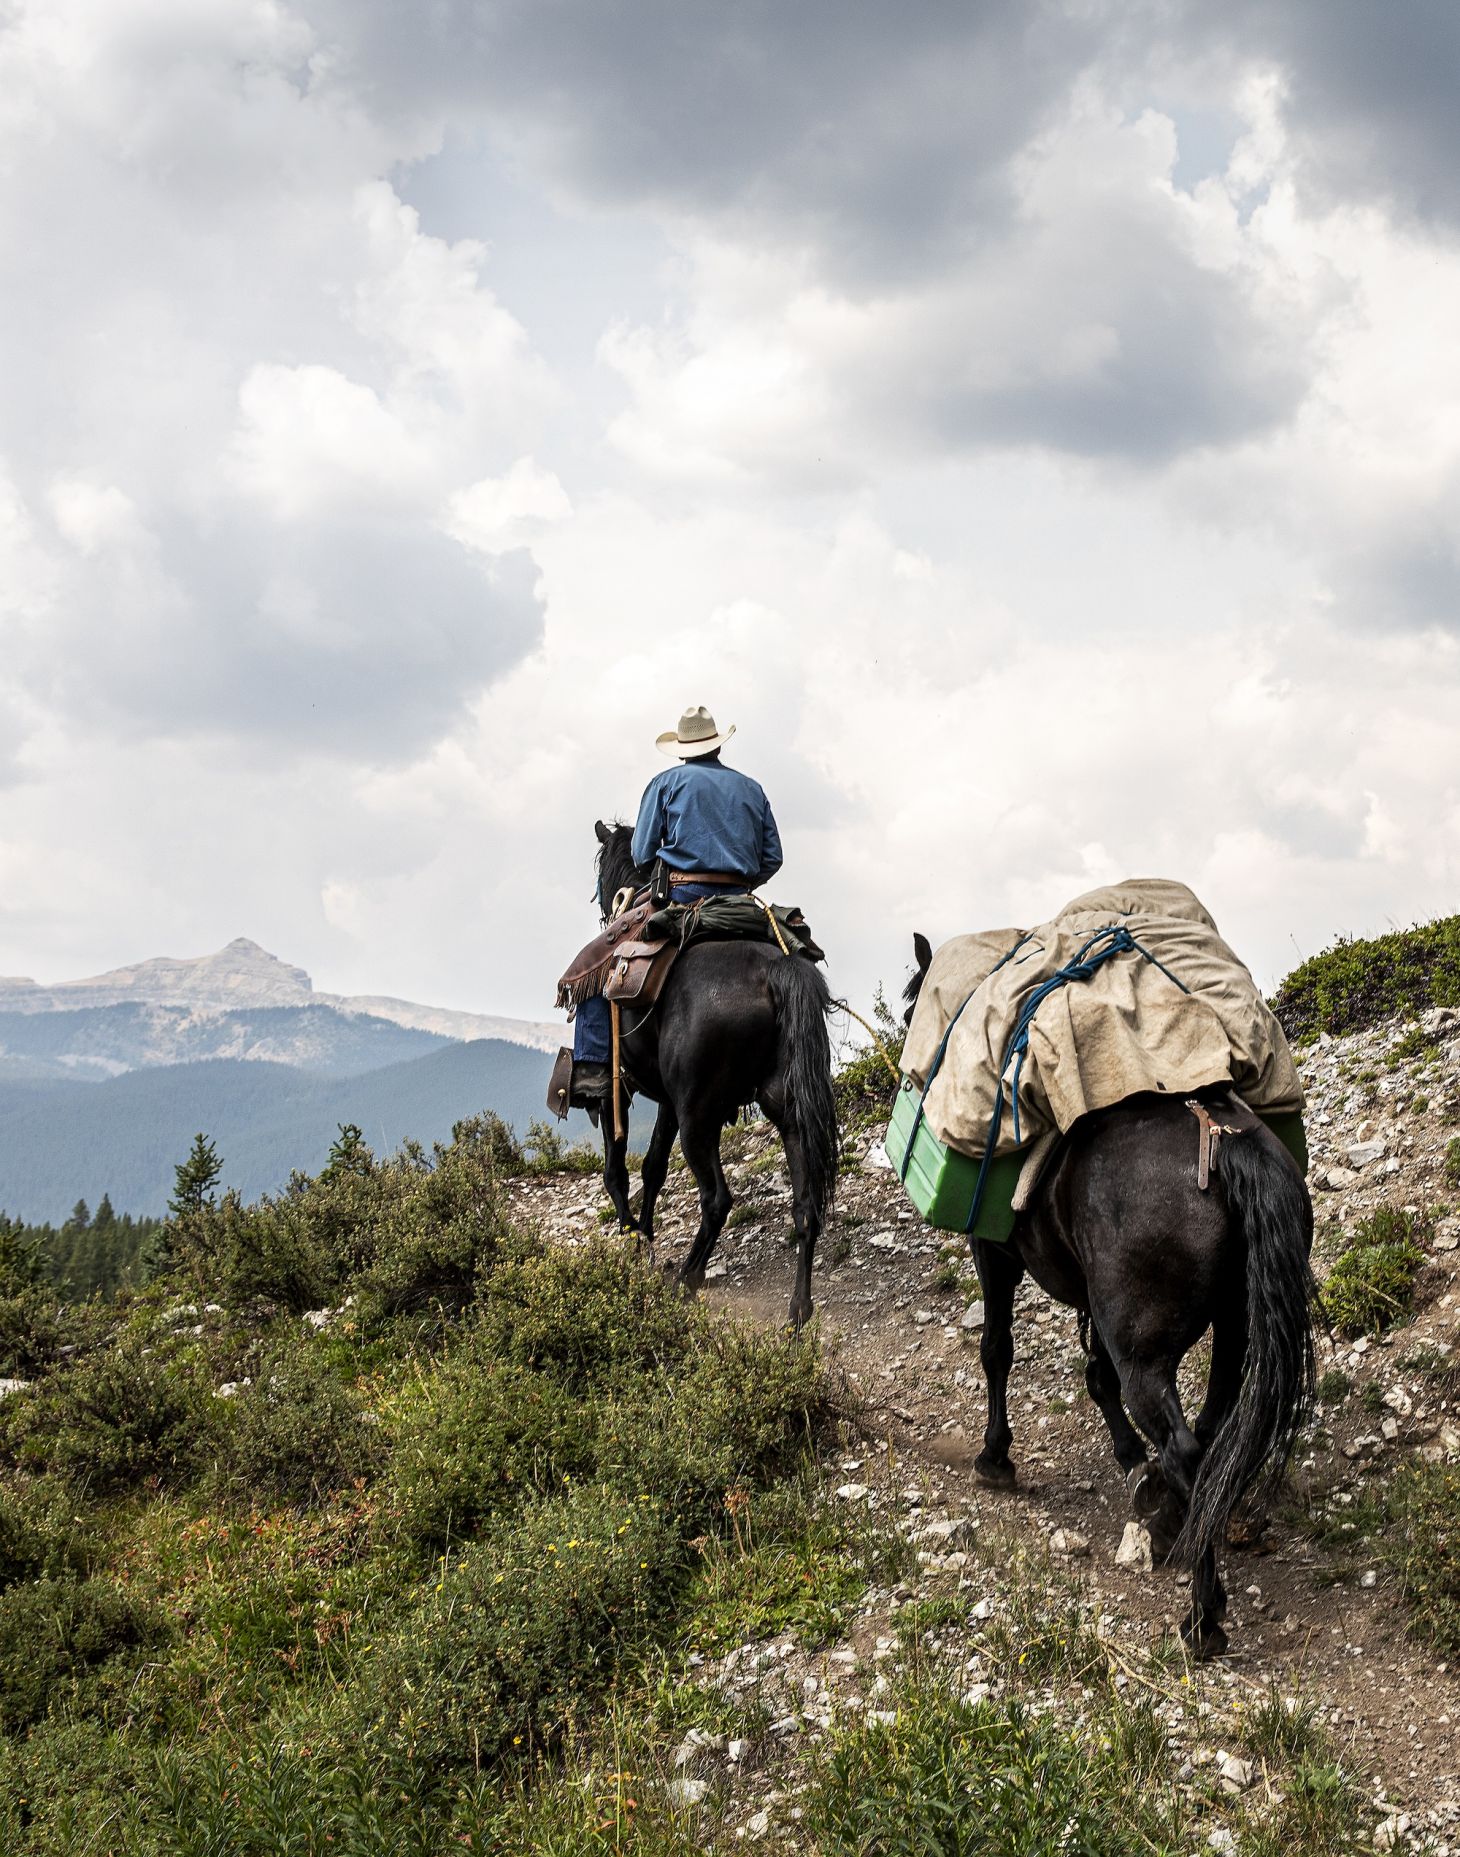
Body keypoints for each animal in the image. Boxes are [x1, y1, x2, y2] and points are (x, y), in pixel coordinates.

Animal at [584, 822, 838, 1328]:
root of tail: (776, 969)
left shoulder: (618, 1090)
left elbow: (616, 1171)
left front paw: (631, 1237)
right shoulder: (667, 1101)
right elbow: (653, 1167)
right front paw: (645, 1236)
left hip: (699, 1117)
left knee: (718, 1199)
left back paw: (688, 1277)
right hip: (787, 1111)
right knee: (805, 1206)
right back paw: (798, 1310)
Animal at [904, 934, 1317, 1656]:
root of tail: (1219, 1137)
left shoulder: (994, 1255)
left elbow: (997, 1349)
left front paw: (995, 1456)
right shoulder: (1095, 1300)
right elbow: (1095, 1374)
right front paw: (1130, 1463)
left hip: (1146, 1351)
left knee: (1183, 1444)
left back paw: (1203, 1613)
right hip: (1235, 1323)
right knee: (1211, 1426)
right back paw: (1178, 1514)